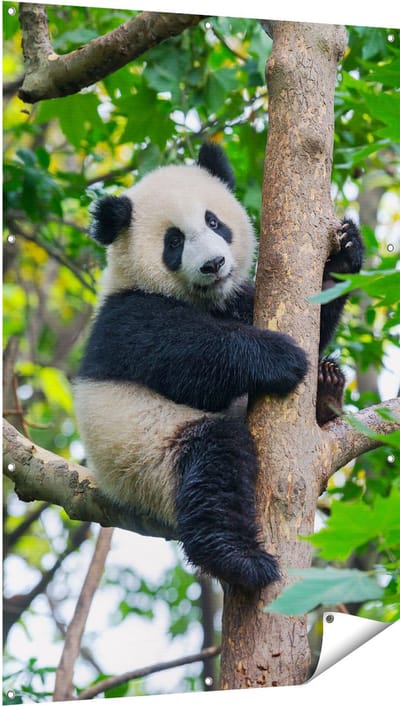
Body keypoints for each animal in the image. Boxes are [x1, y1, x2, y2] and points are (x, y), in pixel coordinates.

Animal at [74, 143, 363, 591]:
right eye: (174, 241)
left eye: (214, 221)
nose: (213, 264)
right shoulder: (127, 318)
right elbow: (189, 359)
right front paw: (281, 357)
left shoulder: (236, 301)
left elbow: (315, 317)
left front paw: (344, 255)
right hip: (148, 457)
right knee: (213, 464)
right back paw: (239, 559)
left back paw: (327, 390)